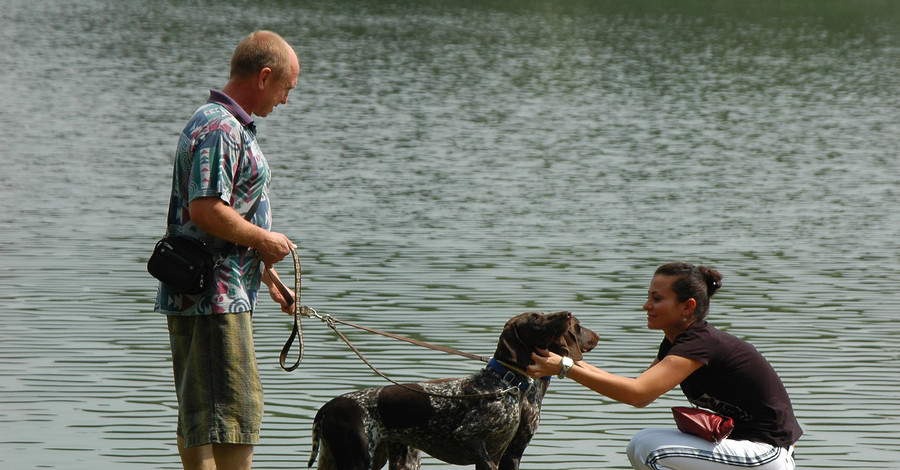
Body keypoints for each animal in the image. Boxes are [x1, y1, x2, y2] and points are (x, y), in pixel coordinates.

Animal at [308, 310, 596, 468]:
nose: (567, 313)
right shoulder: (474, 439)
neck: (505, 382)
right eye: (536, 318)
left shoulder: (500, 452)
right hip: (358, 459)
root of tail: (327, 407)